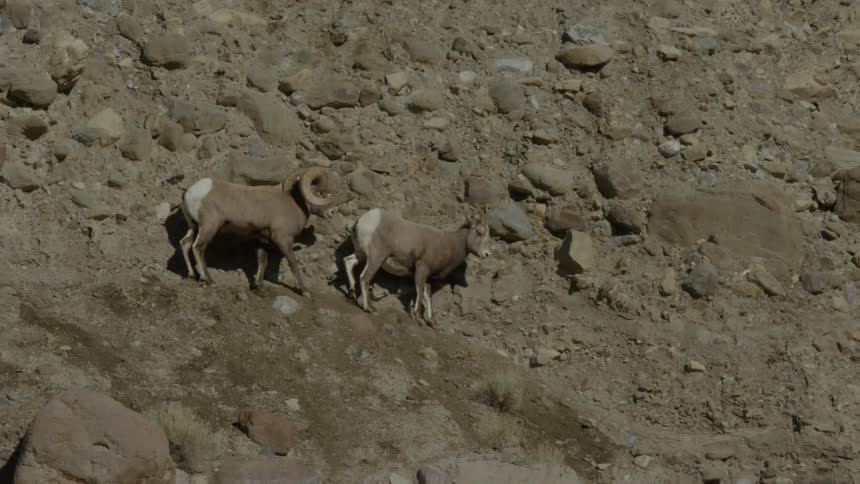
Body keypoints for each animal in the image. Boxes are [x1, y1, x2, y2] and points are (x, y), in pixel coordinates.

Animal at [179, 166, 349, 296]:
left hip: (194, 227)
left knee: (185, 244)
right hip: (209, 227)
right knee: (198, 248)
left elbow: (262, 261)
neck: (293, 203)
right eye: (320, 192)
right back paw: (209, 280)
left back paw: (192, 275)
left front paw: (259, 286)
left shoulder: (259, 241)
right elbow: (293, 263)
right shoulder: (283, 240)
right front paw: (304, 291)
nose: (331, 213)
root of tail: (190, 193)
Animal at [342, 208, 492, 322]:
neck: (450, 244)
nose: (487, 254)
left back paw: (352, 294)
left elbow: (428, 296)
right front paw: (418, 317)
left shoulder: (428, 277)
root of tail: (364, 220)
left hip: (361, 254)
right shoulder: (422, 269)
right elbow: (419, 292)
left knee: (348, 261)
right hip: (376, 258)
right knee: (364, 277)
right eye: (479, 232)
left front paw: (431, 321)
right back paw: (369, 309)